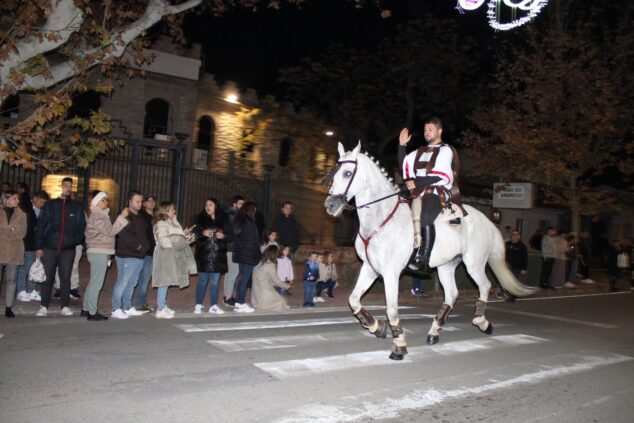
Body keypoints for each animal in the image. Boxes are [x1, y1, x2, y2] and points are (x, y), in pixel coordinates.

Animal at [324, 143, 536, 362]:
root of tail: (487, 221)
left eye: (348, 173)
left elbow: (391, 310)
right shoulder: (370, 268)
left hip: (473, 263)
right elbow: (354, 300)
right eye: (335, 173)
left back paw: (482, 322)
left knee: (484, 286)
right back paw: (434, 332)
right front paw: (377, 328)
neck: (381, 218)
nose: (330, 205)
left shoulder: (391, 273)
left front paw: (398, 346)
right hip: (446, 266)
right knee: (451, 294)